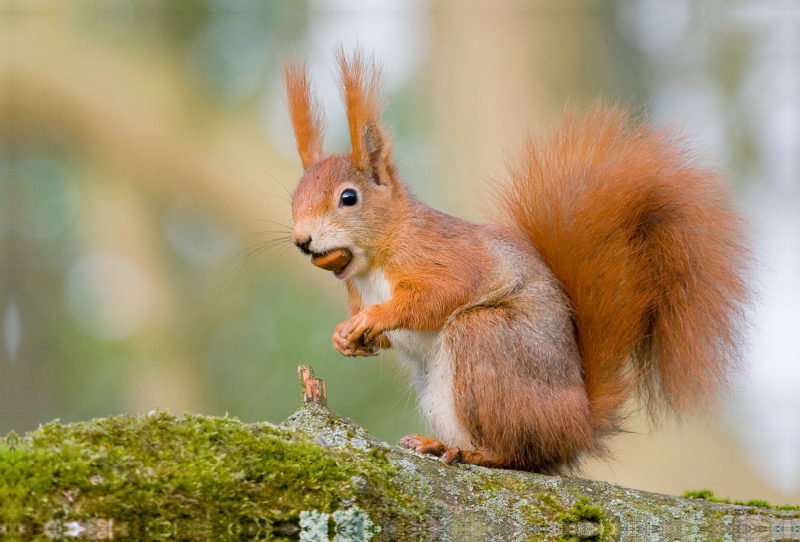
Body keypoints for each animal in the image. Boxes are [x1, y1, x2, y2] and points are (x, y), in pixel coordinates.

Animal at [282, 52, 752, 476]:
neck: (373, 260)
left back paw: (470, 452)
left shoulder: (442, 255)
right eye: (294, 199)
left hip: (486, 341)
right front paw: (345, 337)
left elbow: (440, 293)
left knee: (519, 454)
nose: (302, 241)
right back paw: (439, 445)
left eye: (348, 197)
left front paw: (374, 317)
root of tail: (578, 425)